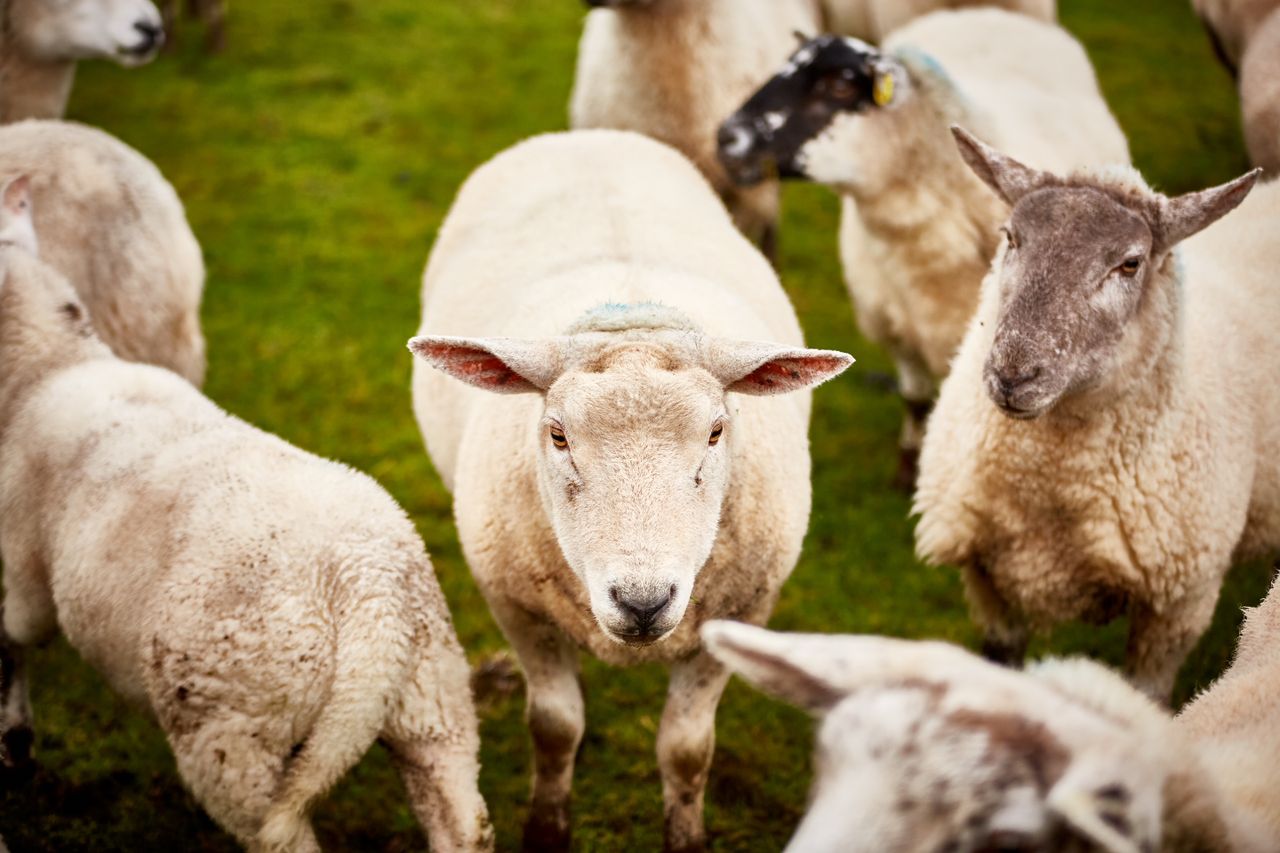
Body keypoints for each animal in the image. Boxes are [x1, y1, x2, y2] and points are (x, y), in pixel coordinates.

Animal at [0, 234, 493, 850]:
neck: (49, 364)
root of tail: (367, 588)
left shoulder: (24, 574)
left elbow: (12, 639)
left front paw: (14, 740)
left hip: (234, 730)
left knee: (278, 834)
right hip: (433, 696)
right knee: (461, 816)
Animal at [408, 129, 853, 852]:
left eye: (716, 430)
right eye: (557, 434)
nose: (641, 601)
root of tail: (588, 136)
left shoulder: (741, 611)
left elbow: (687, 750)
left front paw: (686, 834)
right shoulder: (515, 606)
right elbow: (554, 725)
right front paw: (547, 826)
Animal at [716, 10, 1129, 487]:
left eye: (839, 86)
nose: (727, 137)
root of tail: (983, 13)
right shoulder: (897, 327)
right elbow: (914, 398)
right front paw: (906, 468)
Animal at [913, 128, 1275, 703]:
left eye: (1130, 263)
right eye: (1011, 237)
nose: (1013, 374)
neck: (1048, 490)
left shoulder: (1178, 608)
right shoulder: (986, 579)